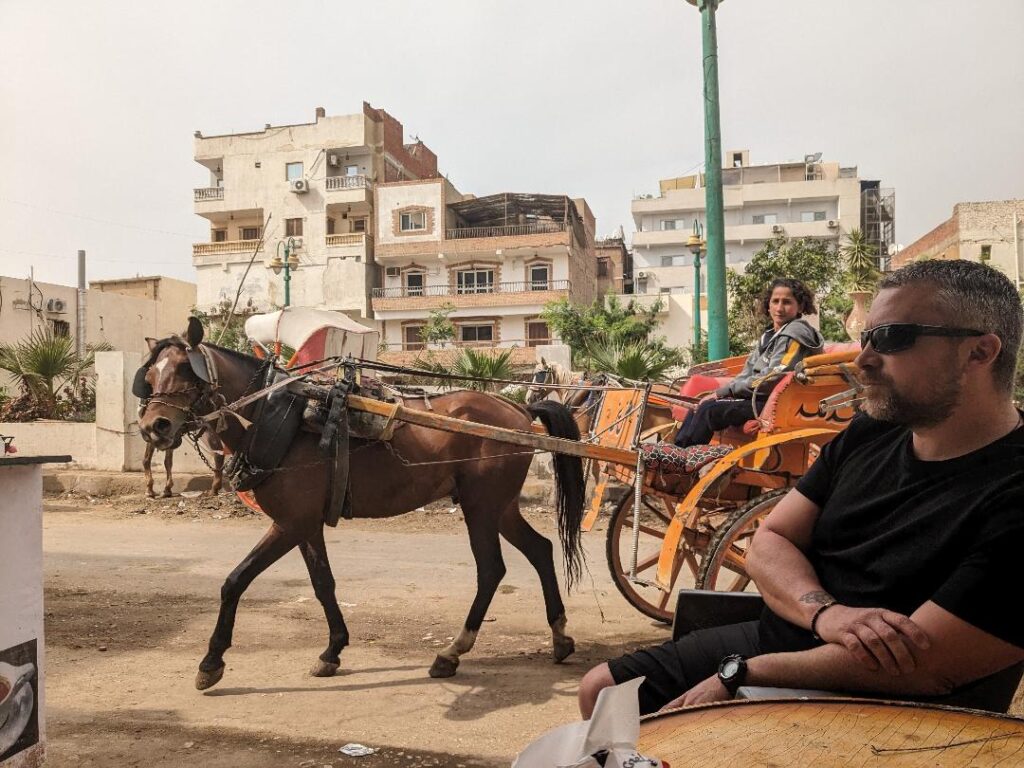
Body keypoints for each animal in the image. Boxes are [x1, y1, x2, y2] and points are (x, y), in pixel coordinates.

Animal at [136, 319, 585, 692]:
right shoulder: (305, 524)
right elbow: (322, 583)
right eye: (152, 376)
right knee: (541, 550)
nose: (153, 427)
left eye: (186, 371)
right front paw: (332, 650)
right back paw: (560, 637)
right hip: (500, 506)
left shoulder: (290, 522)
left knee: (491, 570)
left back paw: (452, 651)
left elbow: (235, 580)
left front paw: (211, 662)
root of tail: (520, 410)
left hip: (481, 507)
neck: (274, 415)